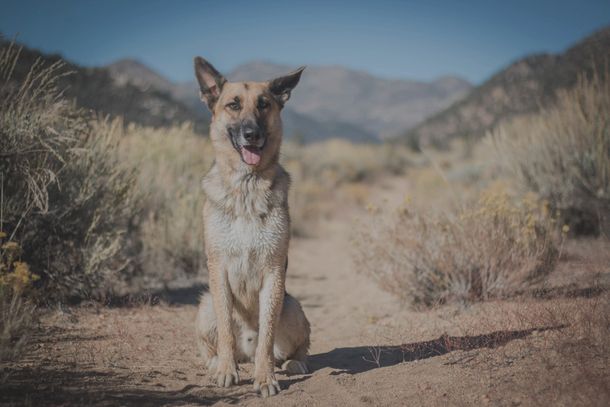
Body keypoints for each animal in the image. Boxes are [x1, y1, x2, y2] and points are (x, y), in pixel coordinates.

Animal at [194, 58, 312, 398]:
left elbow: (267, 336)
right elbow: (225, 332)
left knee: (296, 347)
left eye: (264, 104)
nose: (252, 134)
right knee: (214, 345)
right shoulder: (218, 269)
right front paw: (226, 371)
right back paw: (219, 363)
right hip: (205, 305)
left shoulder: (273, 272)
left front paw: (265, 377)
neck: (246, 186)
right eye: (233, 105)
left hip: (293, 306)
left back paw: (292, 364)